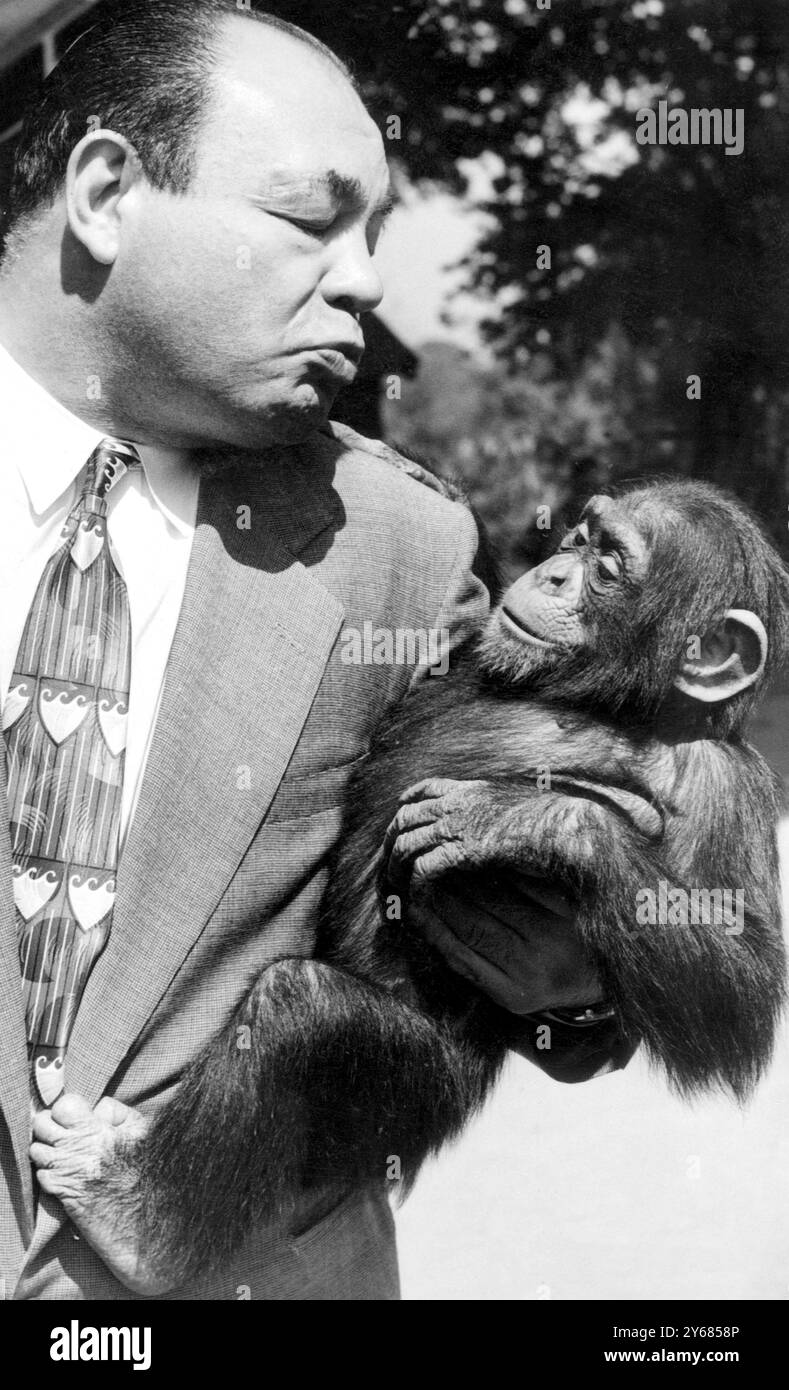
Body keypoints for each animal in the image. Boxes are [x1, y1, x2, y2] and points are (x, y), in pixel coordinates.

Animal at [80, 480, 789, 1289]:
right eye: (579, 540)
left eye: (608, 568)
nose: (554, 573)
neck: (604, 705)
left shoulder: (724, 788)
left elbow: (739, 997)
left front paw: (521, 819)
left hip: (427, 1084)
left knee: (301, 1011)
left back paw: (133, 1224)